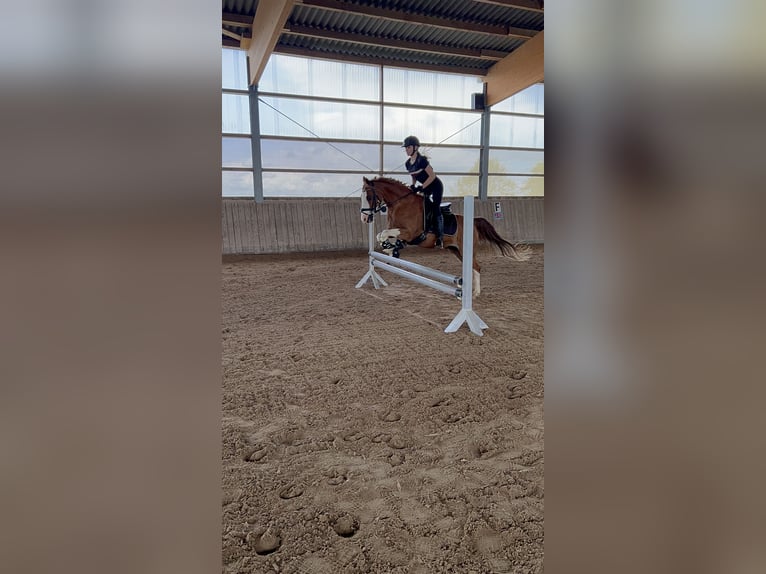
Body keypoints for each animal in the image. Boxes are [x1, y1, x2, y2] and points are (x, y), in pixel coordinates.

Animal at [358, 178, 528, 296]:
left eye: (368, 196)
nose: (365, 219)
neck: (401, 204)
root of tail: (473, 221)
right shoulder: (398, 231)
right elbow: (383, 235)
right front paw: (390, 250)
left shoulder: (410, 233)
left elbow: (383, 234)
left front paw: (390, 248)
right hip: (455, 250)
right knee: (472, 267)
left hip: (465, 250)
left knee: (476, 267)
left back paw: (475, 293)